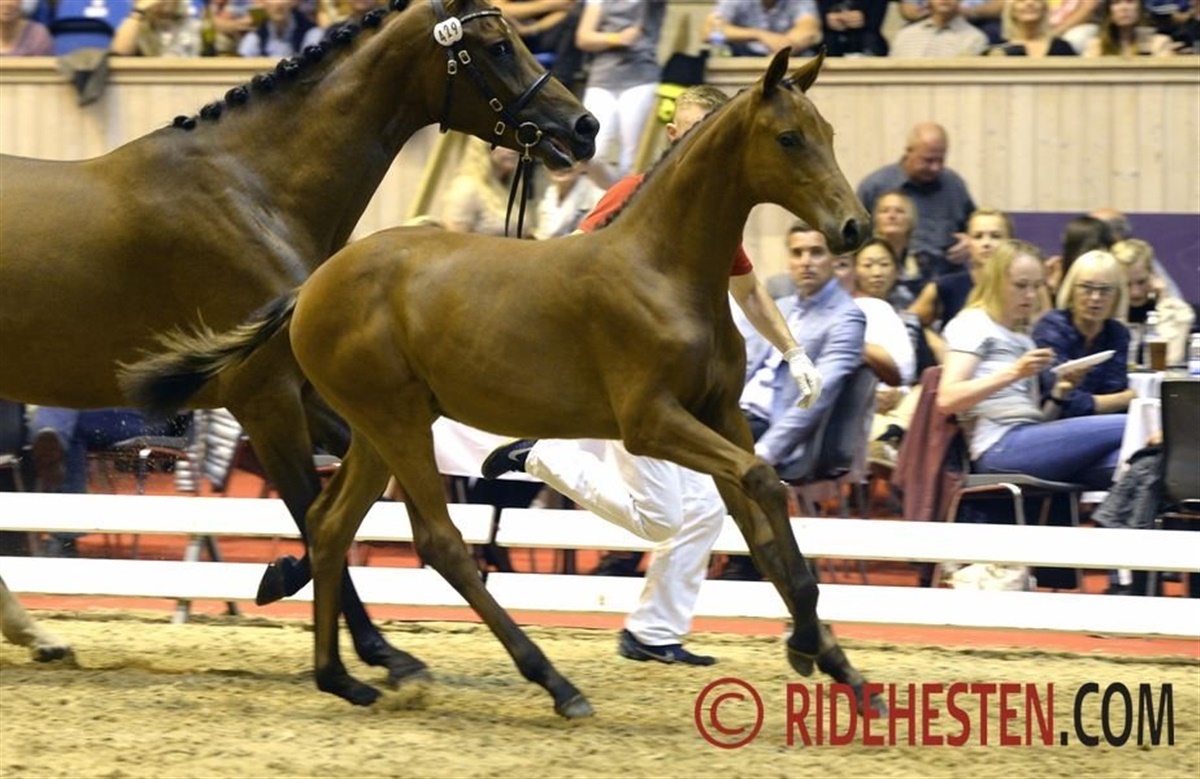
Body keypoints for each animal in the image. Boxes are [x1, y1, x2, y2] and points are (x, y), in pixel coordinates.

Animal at [0, 0, 595, 684]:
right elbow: (313, 513)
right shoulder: (265, 399)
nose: (584, 127)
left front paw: (288, 582)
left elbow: (350, 502)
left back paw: (40, 636)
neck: (255, 192)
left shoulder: (324, 395)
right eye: (497, 46)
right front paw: (378, 651)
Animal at [122, 48, 886, 719]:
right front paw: (808, 646)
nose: (854, 227)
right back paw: (554, 682)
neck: (663, 270)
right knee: (441, 541)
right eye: (788, 138)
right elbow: (766, 484)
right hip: (398, 422)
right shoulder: (652, 421)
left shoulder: (719, 415)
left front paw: (842, 671)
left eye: (827, 133)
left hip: (379, 430)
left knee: (331, 524)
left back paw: (343, 677)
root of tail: (311, 285)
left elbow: (765, 531)